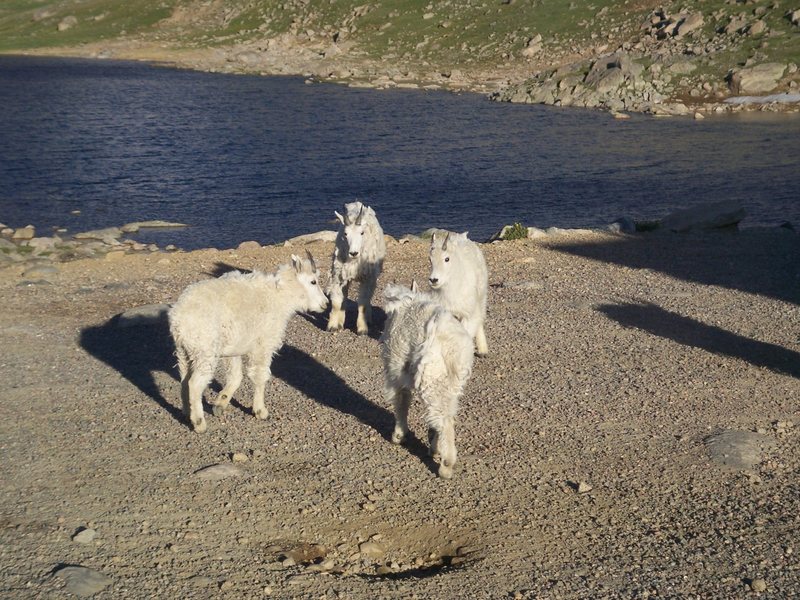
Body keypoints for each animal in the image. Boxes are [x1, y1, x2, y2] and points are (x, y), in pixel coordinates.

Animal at [169, 252, 328, 432]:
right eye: (313, 281)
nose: (325, 304)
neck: (280, 297)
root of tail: (178, 319)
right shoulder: (263, 344)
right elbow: (259, 376)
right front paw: (260, 411)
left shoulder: (233, 349)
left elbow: (236, 376)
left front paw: (220, 404)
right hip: (204, 350)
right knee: (195, 384)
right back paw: (199, 422)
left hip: (184, 351)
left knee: (184, 379)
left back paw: (186, 412)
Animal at [326, 200, 386, 332]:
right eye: (345, 233)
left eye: (362, 232)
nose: (353, 253)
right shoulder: (339, 275)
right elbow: (337, 301)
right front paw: (333, 325)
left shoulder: (366, 277)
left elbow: (362, 302)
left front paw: (362, 328)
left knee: (368, 297)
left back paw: (368, 319)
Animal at [382, 284, 476, 480]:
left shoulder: (396, 371)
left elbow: (402, 401)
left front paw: (398, 436)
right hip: (451, 382)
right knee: (445, 414)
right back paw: (436, 448)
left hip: (432, 379)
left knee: (443, 419)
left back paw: (446, 465)